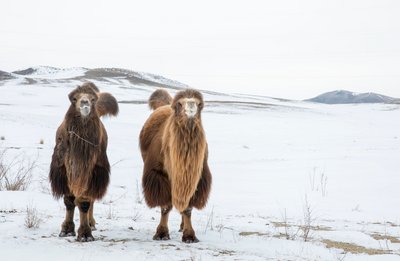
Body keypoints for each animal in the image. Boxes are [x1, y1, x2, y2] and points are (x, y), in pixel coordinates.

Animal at [49, 82, 118, 241]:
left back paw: (91, 223)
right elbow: (69, 201)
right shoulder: (64, 169)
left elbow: (85, 201)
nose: (85, 103)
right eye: (74, 98)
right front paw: (66, 230)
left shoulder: (91, 171)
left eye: (93, 99)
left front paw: (85, 234)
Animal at [140, 88, 211, 242]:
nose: (191, 106)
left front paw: (189, 235)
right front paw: (161, 233)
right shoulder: (159, 175)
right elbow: (165, 206)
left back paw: (182, 226)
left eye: (200, 104)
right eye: (179, 104)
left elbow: (188, 207)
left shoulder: (196, 177)